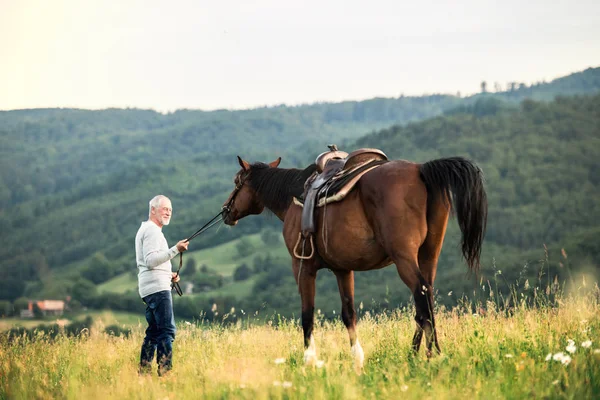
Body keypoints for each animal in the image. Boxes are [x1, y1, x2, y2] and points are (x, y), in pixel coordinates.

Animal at [223, 155, 486, 368]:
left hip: (404, 258)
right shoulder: (343, 269)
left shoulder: (302, 267)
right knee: (426, 300)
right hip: (429, 255)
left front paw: (309, 360)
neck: (294, 196)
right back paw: (419, 355)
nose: (226, 211)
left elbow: (307, 314)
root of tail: (421, 169)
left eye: (237, 182)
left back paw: (428, 356)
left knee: (422, 300)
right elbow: (348, 313)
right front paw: (357, 359)